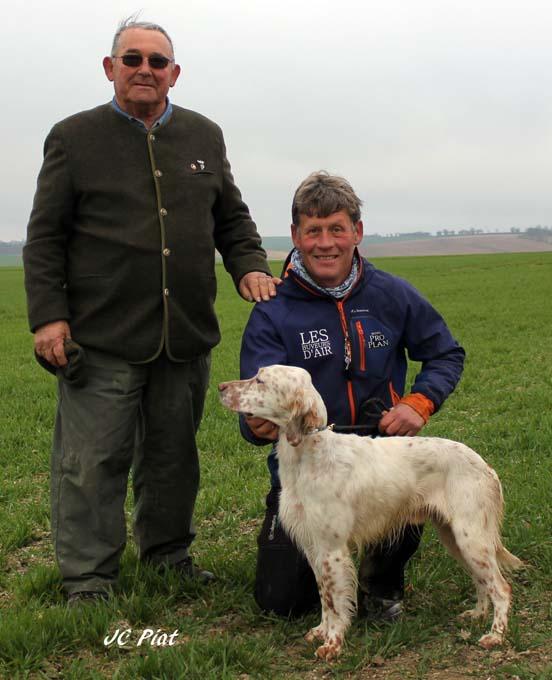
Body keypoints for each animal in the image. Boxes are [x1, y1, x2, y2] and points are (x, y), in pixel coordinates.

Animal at [219, 366, 520, 660]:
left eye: (260, 380)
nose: (221, 387)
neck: (310, 455)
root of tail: (485, 466)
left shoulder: (332, 550)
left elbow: (335, 601)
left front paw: (333, 643)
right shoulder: (314, 547)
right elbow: (324, 596)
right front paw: (320, 631)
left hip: (471, 539)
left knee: (501, 587)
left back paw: (495, 635)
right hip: (455, 538)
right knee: (481, 581)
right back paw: (477, 614)